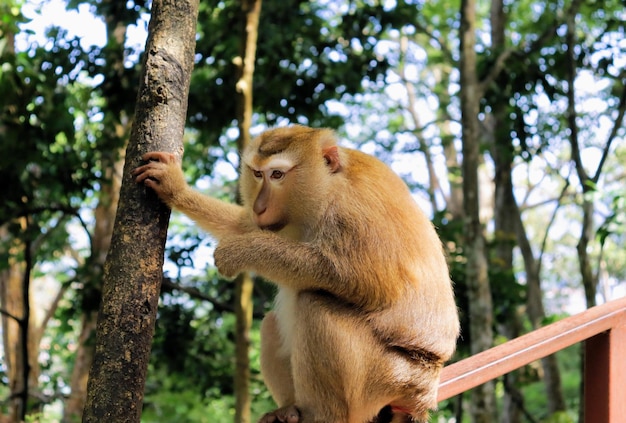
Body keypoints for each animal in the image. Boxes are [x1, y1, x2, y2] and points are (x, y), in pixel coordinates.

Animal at [132, 126, 458, 423]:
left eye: (277, 175)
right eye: (257, 174)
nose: (260, 206)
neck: (328, 185)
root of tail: (424, 395)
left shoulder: (353, 211)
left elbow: (363, 281)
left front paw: (241, 251)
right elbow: (243, 224)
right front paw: (175, 188)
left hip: (389, 380)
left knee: (313, 303)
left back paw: (322, 416)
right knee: (273, 322)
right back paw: (289, 410)